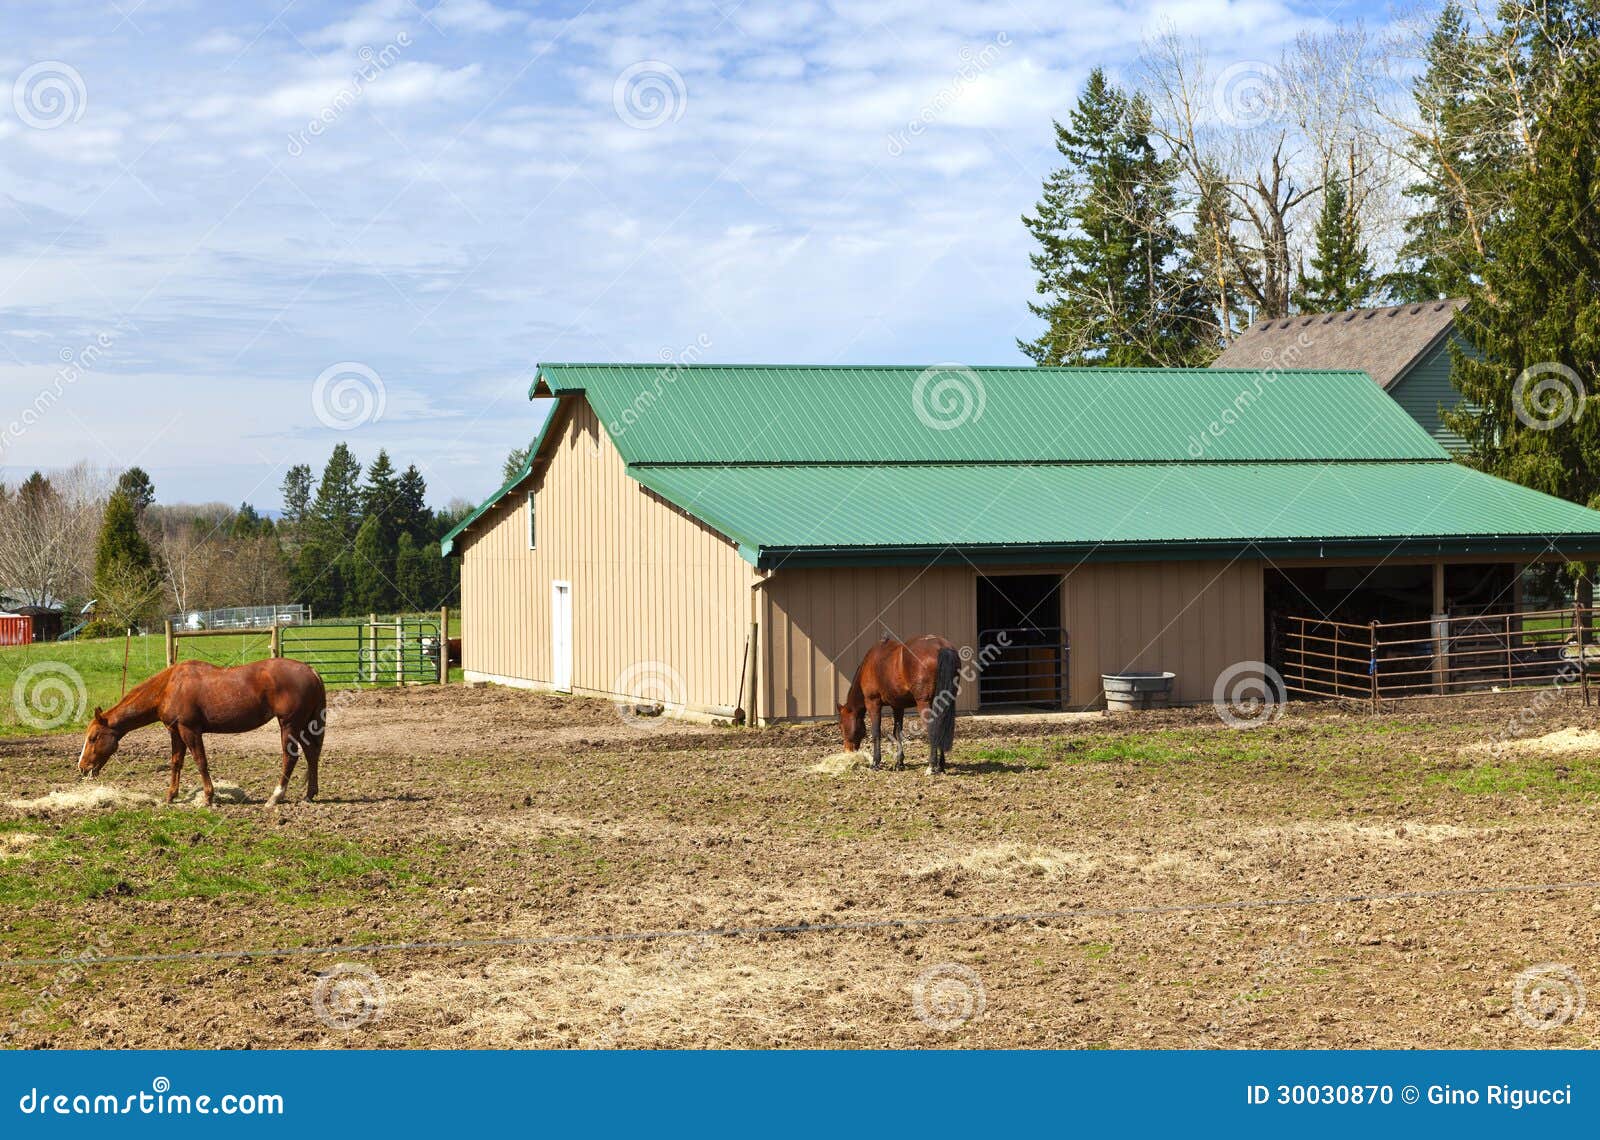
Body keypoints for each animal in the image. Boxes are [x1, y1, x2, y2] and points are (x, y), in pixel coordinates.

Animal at [78, 653, 328, 806]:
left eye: (93, 738)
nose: (82, 767)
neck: (169, 686)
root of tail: (311, 671)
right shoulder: (175, 731)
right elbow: (176, 762)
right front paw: (171, 795)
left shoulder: (190, 730)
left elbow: (200, 761)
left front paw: (208, 796)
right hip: (304, 725)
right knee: (311, 754)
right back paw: (309, 794)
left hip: (289, 725)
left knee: (290, 757)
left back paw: (275, 797)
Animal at [838, 630, 960, 774]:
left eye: (841, 726)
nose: (847, 751)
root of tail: (941, 646)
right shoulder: (898, 706)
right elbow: (898, 733)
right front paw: (899, 763)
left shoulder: (873, 703)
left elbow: (876, 732)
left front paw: (875, 763)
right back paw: (940, 765)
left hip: (924, 703)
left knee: (933, 729)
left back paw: (931, 766)